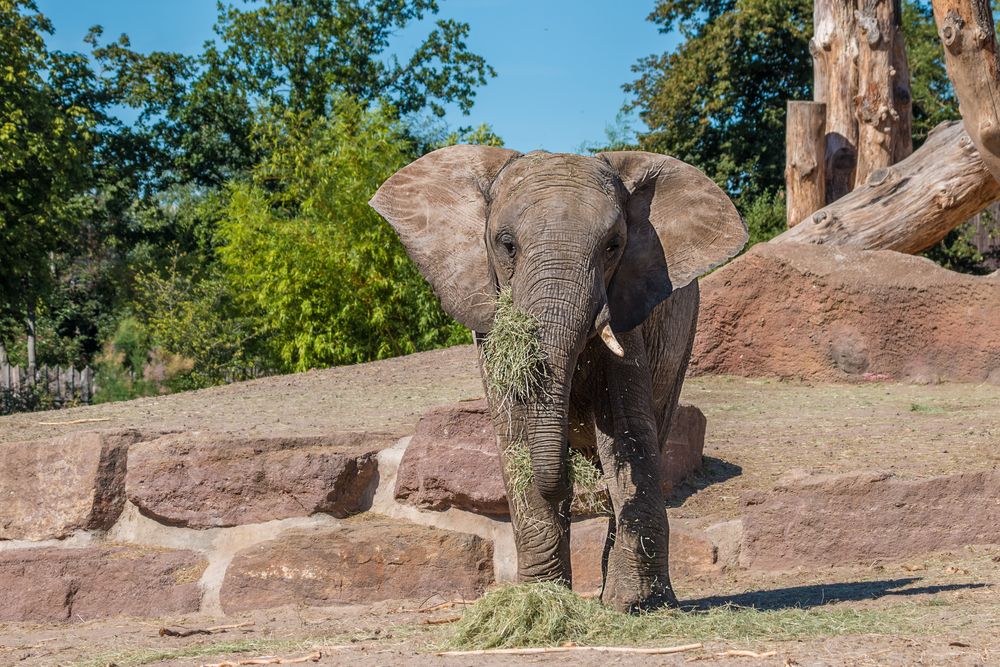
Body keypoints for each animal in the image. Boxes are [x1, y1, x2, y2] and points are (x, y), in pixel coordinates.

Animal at [372, 147, 748, 616]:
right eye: (507, 245)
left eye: (613, 246)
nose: (567, 473)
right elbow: (514, 428)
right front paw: (539, 599)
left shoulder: (628, 304)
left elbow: (626, 432)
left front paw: (634, 605)